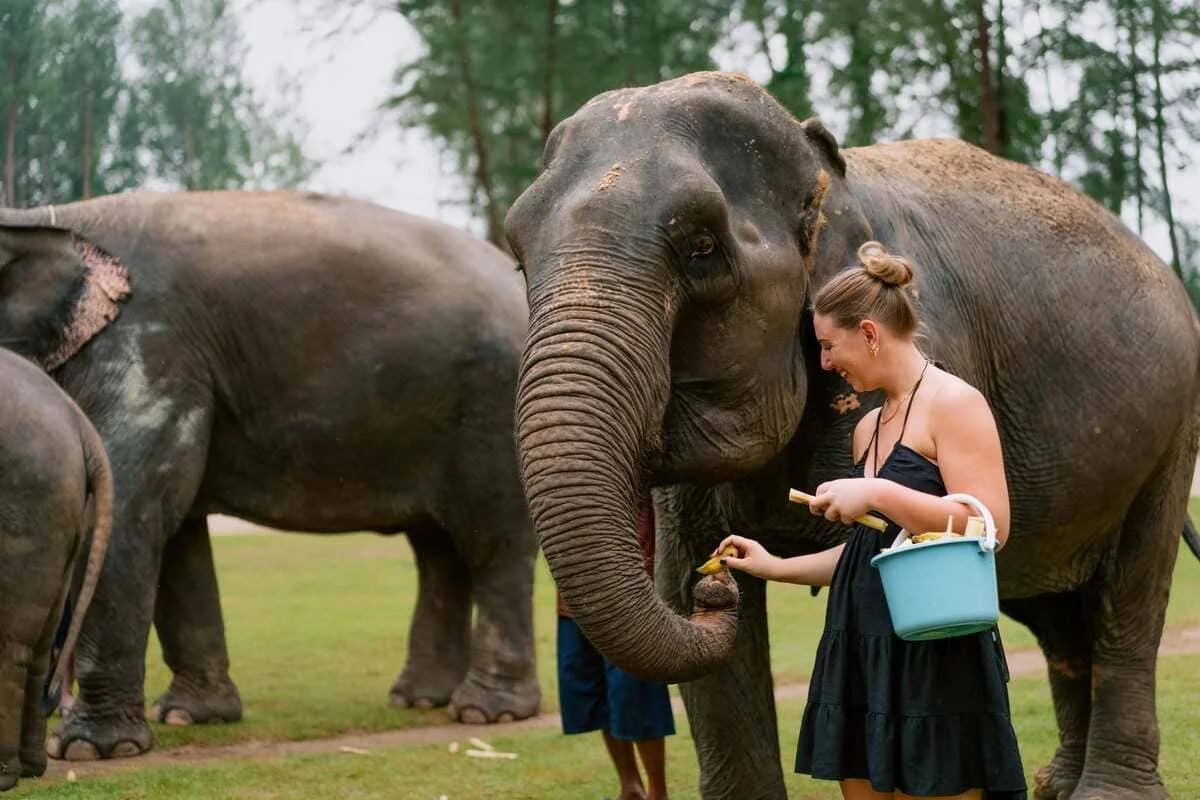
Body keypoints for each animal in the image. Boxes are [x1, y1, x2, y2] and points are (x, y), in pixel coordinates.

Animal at [0, 348, 112, 790]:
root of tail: (80, 423)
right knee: (40, 644)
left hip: (30, 504)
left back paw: (5, 776)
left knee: (11, 644)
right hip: (60, 514)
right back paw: (31, 768)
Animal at [505, 71, 1200, 800]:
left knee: (1130, 594)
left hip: (1174, 423)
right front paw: (721, 568)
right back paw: (1057, 783)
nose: (714, 590)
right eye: (517, 257)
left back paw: (1107, 789)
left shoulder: (940, 345)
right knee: (1050, 608)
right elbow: (681, 590)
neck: (830, 179)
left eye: (701, 249)